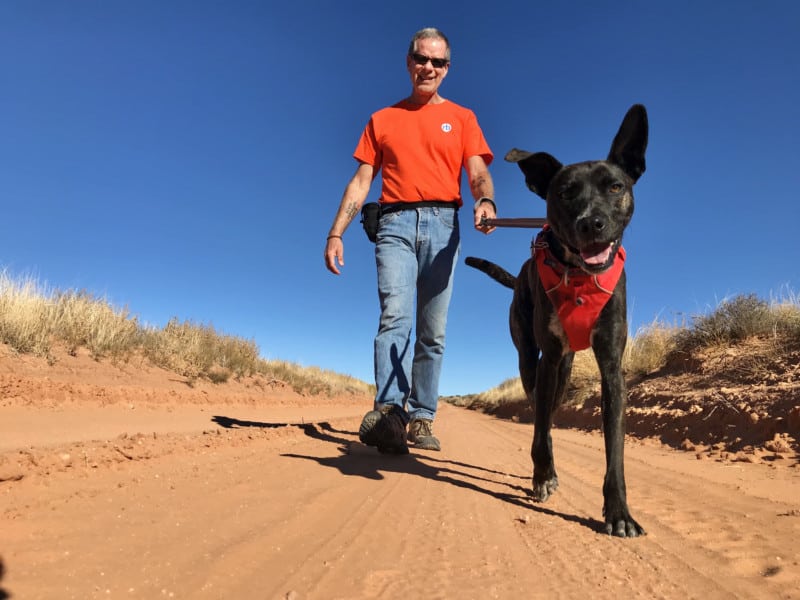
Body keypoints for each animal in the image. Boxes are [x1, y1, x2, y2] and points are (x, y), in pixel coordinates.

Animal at [466, 104, 648, 540]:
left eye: (615, 187)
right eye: (564, 193)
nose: (591, 223)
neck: (579, 277)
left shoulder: (611, 368)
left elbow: (615, 449)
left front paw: (619, 512)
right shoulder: (546, 358)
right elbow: (539, 428)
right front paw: (542, 475)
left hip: (565, 371)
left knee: (548, 413)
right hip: (531, 359)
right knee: (540, 414)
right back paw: (542, 469)